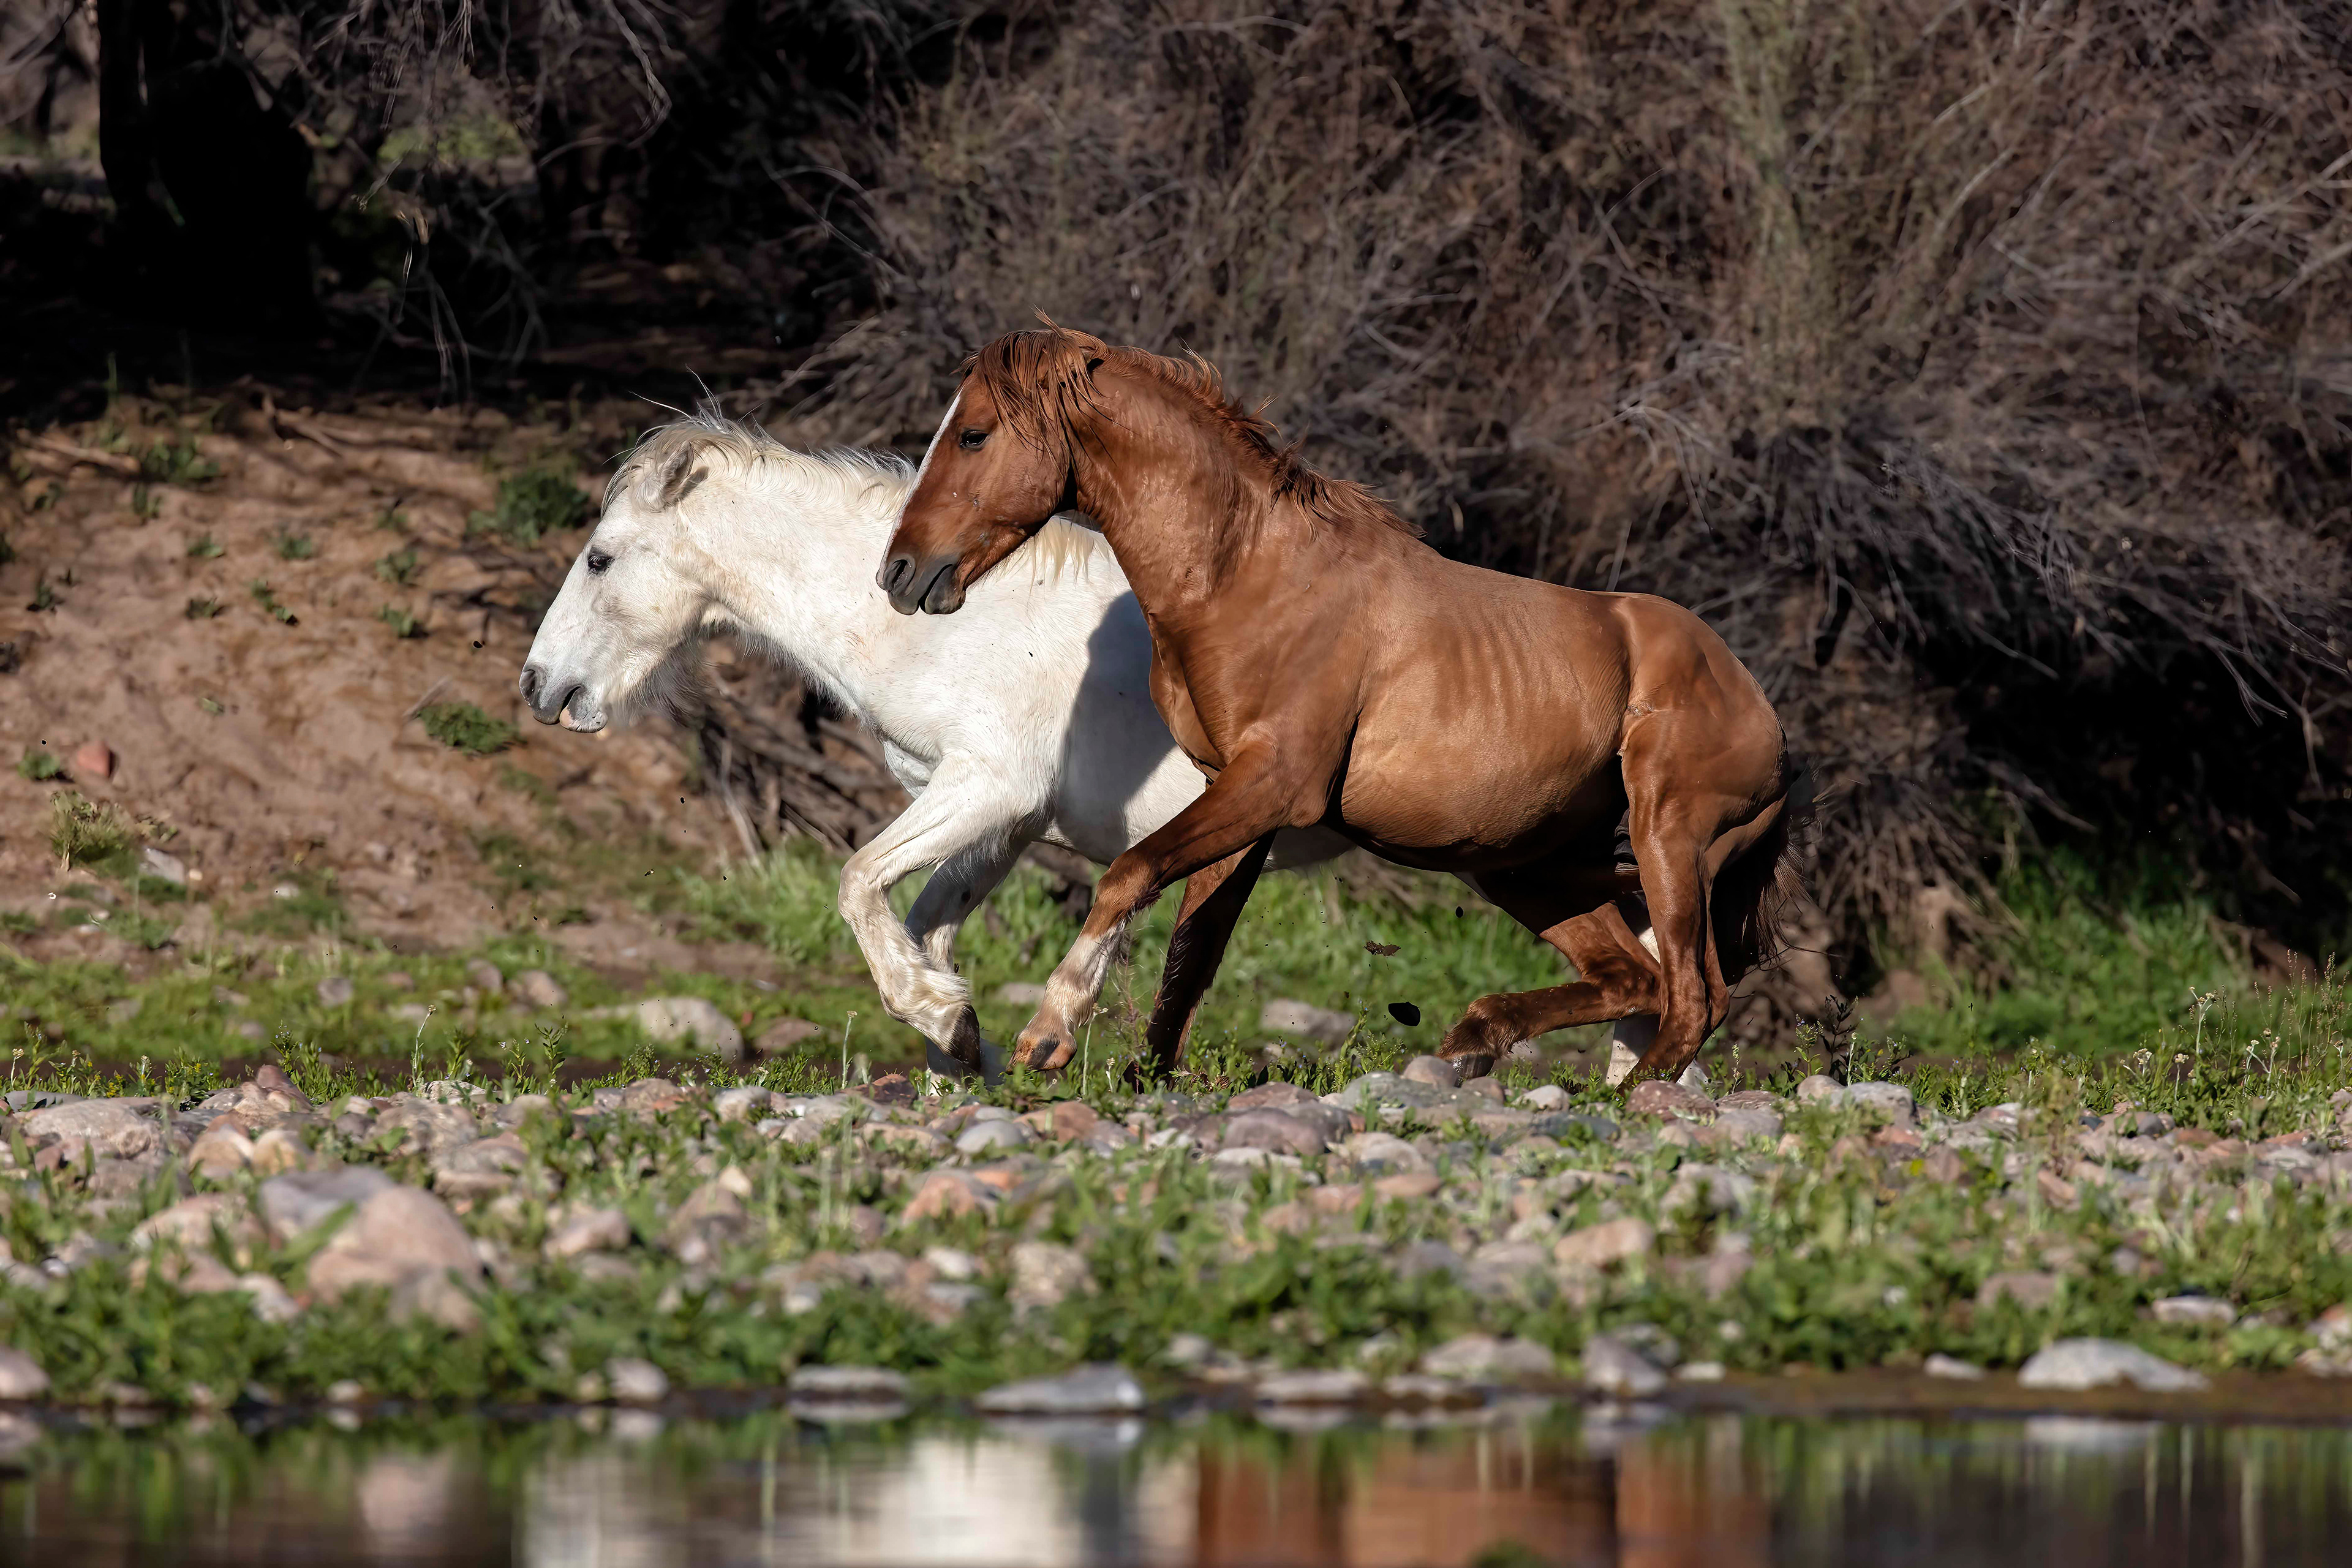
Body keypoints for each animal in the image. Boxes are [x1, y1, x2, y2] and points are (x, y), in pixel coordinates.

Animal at [517, 412, 1345, 1079]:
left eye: (599, 558)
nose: (537, 685)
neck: (940, 623)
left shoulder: (987, 786)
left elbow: (857, 880)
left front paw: (952, 1024)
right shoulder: (1004, 823)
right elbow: (924, 926)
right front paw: (960, 1050)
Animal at [876, 325, 1808, 1087]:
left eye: (974, 433)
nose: (900, 571)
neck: (1249, 577)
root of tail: (1771, 725)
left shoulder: (1277, 785)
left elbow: (1129, 875)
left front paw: (1050, 1031)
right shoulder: (1233, 794)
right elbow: (1193, 952)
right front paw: (1147, 1078)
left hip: (1668, 840)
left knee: (1692, 995)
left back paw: (1617, 1092)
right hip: (1527, 867)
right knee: (1634, 978)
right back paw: (1472, 1041)